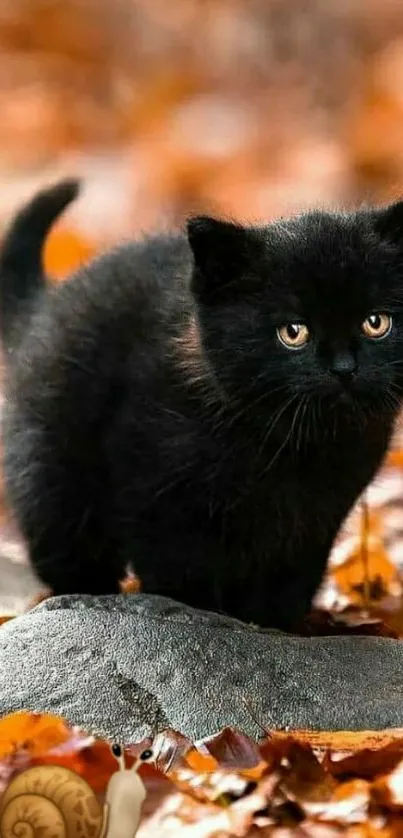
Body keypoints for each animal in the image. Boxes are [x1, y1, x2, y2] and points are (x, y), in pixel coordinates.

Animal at [0, 184, 403, 632]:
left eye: (376, 322)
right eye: (293, 332)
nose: (344, 368)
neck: (295, 445)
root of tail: (42, 307)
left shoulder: (318, 519)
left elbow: (290, 580)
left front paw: (273, 624)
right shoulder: (153, 491)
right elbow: (179, 568)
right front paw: (200, 615)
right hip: (52, 470)